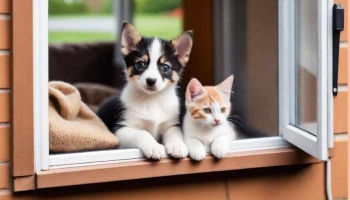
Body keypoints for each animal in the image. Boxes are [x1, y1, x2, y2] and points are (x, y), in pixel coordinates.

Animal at [97, 21, 193, 159]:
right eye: (140, 64)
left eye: (165, 67)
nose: (151, 81)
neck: (152, 99)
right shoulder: (122, 129)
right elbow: (142, 133)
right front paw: (154, 147)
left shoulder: (171, 124)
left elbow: (175, 132)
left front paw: (177, 146)